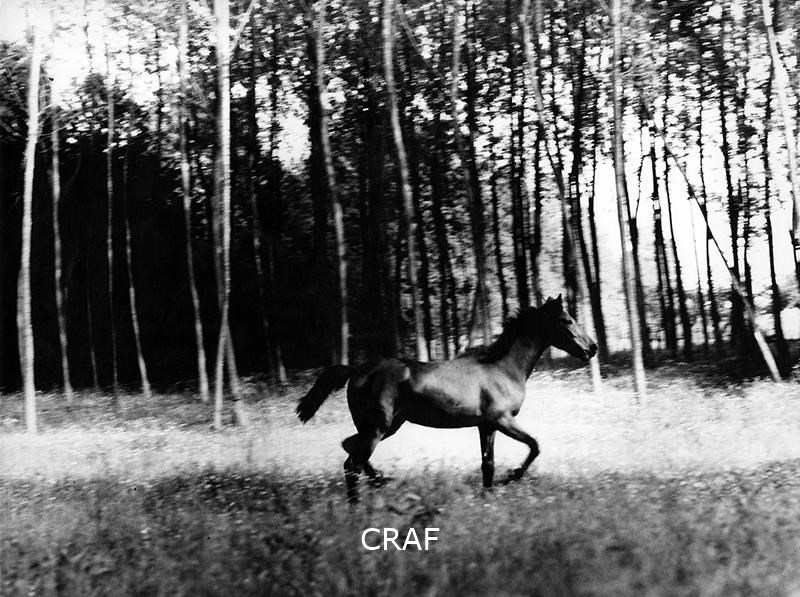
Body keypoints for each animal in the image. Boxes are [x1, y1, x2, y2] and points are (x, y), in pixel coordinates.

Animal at [296, 295, 597, 501]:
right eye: (567, 320)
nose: (592, 348)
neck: (502, 368)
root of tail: (356, 370)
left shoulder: (486, 426)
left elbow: (488, 465)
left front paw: (489, 496)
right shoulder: (502, 421)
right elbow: (534, 446)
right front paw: (512, 476)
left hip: (386, 426)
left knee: (349, 450)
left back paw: (376, 485)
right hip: (378, 428)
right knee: (352, 463)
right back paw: (366, 496)